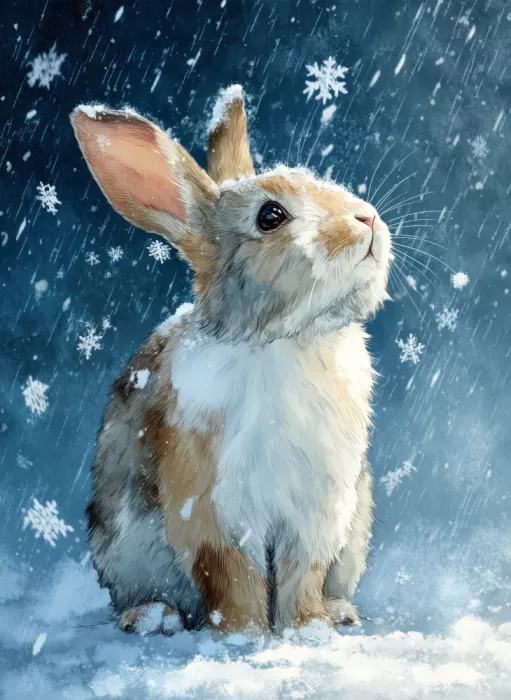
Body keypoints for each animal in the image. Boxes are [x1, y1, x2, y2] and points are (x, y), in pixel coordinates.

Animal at [70, 83, 391, 637]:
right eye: (270, 216)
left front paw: (308, 629)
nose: (366, 218)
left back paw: (340, 611)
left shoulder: (318, 510)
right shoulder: (213, 510)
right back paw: (153, 617)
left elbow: (302, 572)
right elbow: (231, 576)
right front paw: (243, 634)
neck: (288, 340)